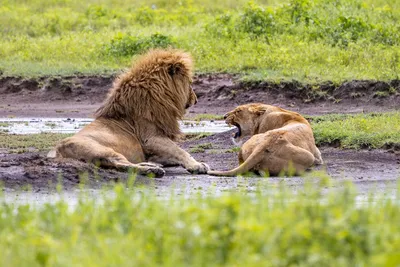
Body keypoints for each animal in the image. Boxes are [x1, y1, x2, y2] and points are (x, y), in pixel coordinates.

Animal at [47, 48, 209, 178]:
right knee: (121, 164)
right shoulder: (151, 138)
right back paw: (152, 170)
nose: (196, 100)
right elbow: (179, 150)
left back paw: (151, 166)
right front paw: (197, 165)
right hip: (102, 149)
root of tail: (58, 150)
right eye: (189, 83)